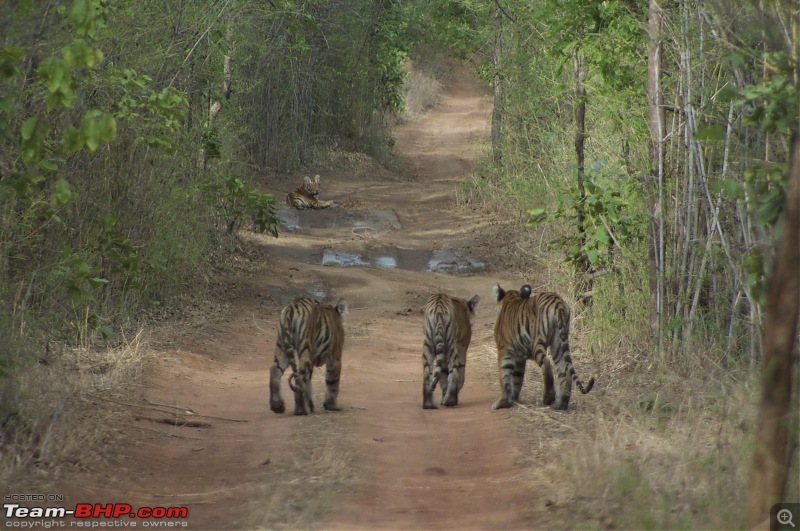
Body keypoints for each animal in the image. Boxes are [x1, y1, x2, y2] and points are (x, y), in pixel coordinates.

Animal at [488, 282, 592, 412]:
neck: (512, 298)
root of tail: (558, 304)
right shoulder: (519, 357)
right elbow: (517, 377)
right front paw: (514, 398)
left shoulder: (504, 350)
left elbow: (504, 376)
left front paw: (503, 402)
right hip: (558, 342)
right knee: (564, 370)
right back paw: (560, 404)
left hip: (538, 340)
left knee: (546, 363)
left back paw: (548, 397)